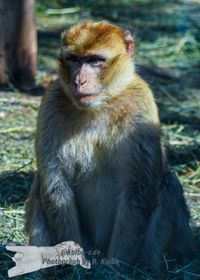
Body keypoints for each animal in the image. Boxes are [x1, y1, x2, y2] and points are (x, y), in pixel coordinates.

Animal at [25, 20, 195, 270]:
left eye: (94, 60)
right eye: (74, 59)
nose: (79, 81)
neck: (100, 105)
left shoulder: (141, 105)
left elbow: (138, 188)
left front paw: (115, 265)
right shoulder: (51, 103)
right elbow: (56, 185)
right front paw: (74, 265)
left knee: (166, 183)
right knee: (40, 184)